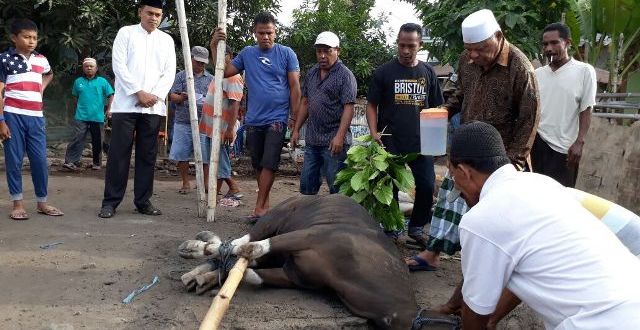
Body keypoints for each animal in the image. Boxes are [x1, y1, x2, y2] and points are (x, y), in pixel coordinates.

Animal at [180, 195, 460, 328]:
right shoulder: (308, 236)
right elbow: (251, 248)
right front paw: (194, 248)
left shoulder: (294, 275)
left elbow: (248, 270)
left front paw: (204, 275)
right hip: (273, 219)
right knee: (243, 240)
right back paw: (198, 247)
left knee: (238, 256)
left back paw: (200, 276)